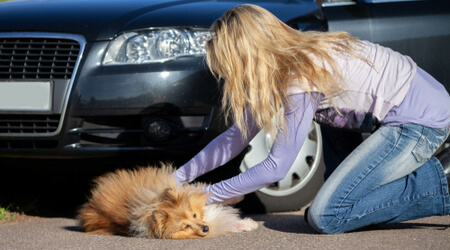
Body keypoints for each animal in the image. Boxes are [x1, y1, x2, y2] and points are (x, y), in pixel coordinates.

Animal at [78, 163, 256, 239]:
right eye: (186, 226)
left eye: (194, 215)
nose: (206, 228)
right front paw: (248, 224)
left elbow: (201, 190)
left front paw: (239, 198)